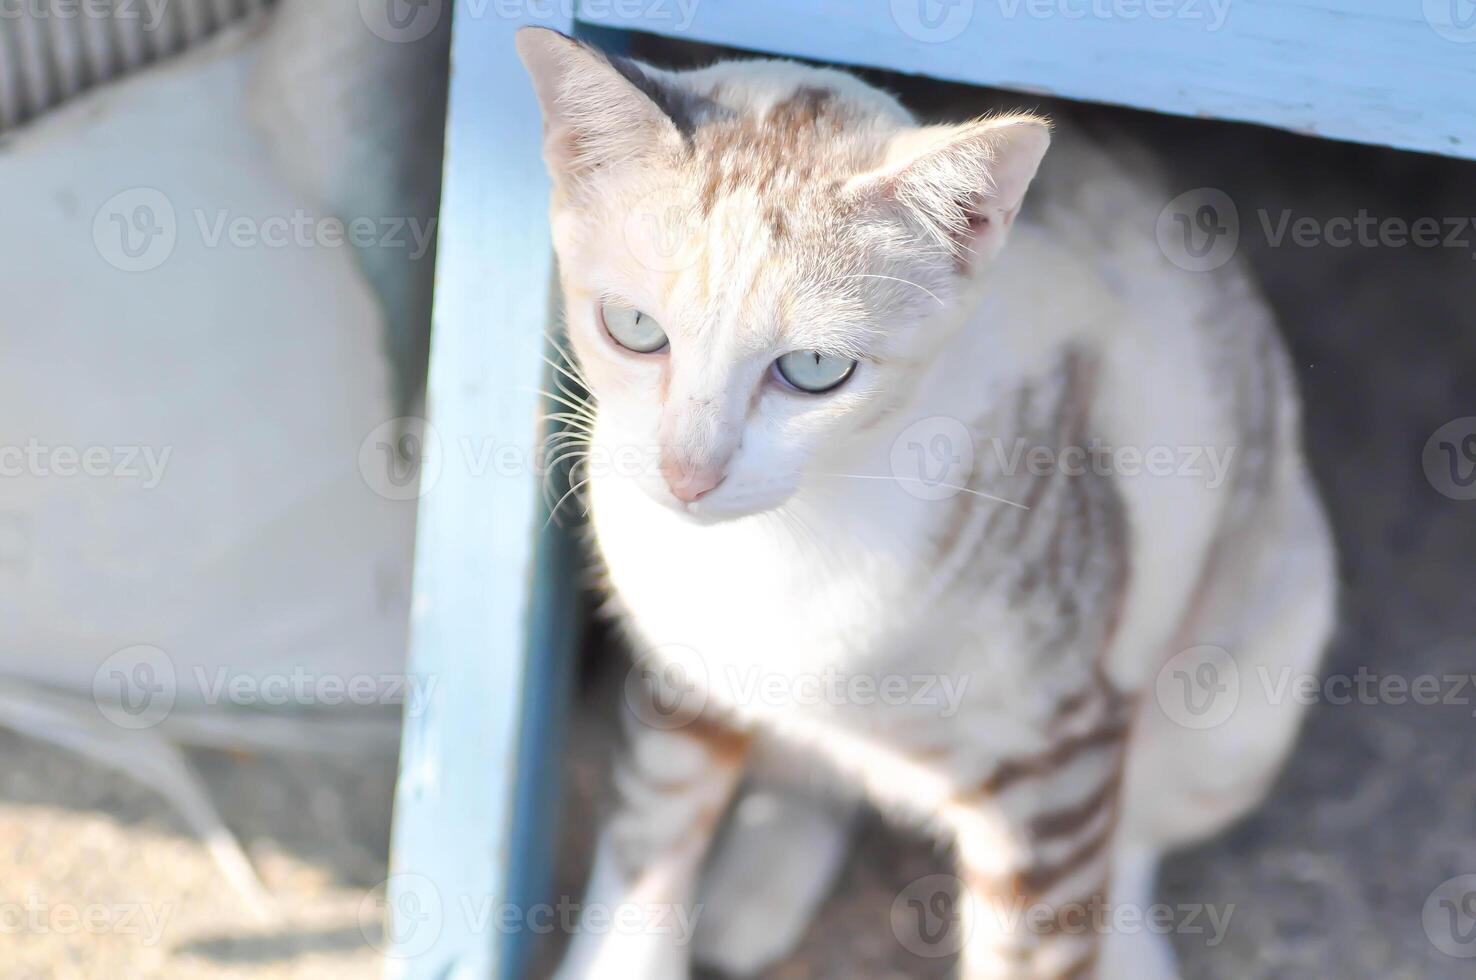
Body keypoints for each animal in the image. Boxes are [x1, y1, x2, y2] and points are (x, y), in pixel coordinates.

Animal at [519, 26, 1340, 974]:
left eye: (814, 369)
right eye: (634, 329)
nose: (690, 472)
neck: (785, 545)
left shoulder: (1055, 751)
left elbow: (1043, 940)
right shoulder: (681, 666)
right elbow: (651, 827)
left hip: (1245, 683)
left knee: (1136, 835)